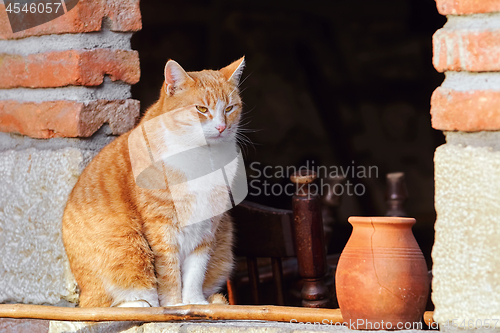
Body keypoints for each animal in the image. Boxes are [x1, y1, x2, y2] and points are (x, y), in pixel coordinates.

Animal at [62, 56, 246, 306]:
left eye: (229, 108)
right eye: (201, 109)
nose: (221, 127)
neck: (201, 156)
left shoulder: (207, 227)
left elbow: (196, 270)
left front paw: (194, 303)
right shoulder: (161, 226)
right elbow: (169, 272)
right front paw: (174, 305)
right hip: (127, 246)